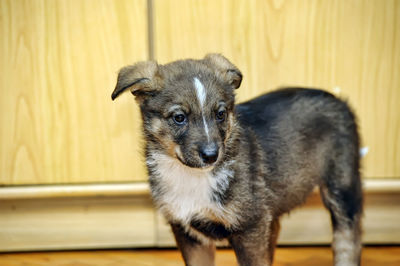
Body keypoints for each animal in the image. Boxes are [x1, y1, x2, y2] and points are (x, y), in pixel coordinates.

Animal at [111, 53, 362, 264]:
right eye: (179, 117)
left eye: (221, 114)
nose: (211, 156)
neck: (192, 176)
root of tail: (338, 99)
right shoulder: (187, 232)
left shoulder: (250, 227)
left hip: (342, 188)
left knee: (348, 240)